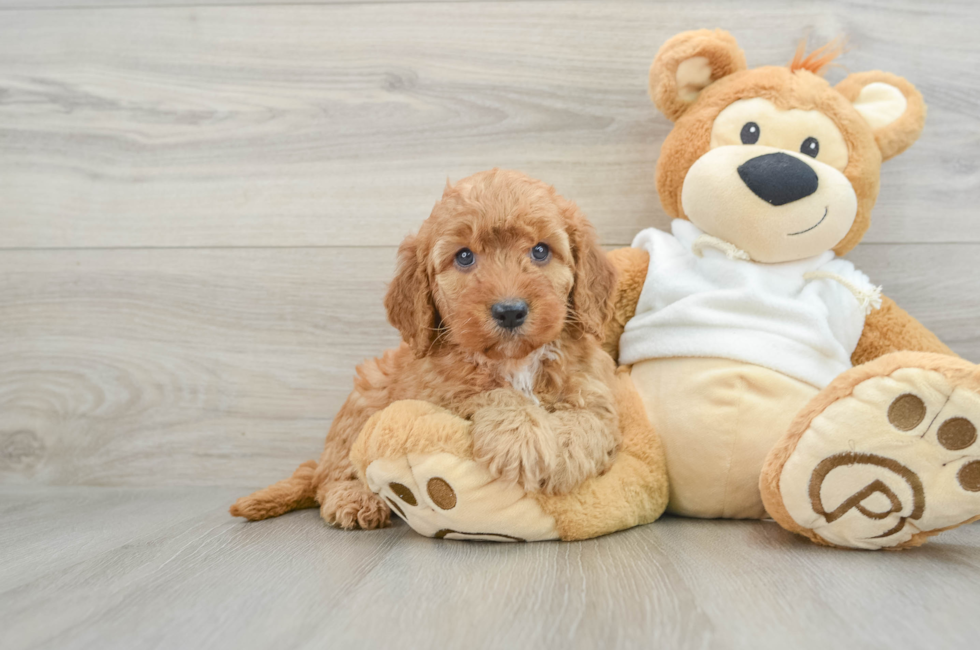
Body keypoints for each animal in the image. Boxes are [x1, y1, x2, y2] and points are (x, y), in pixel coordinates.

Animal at [232, 167, 620, 528]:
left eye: (540, 251)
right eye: (464, 257)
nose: (510, 311)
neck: (515, 361)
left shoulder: (595, 385)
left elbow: (591, 416)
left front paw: (565, 452)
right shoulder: (436, 392)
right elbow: (490, 393)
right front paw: (521, 438)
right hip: (365, 397)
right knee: (331, 476)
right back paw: (354, 499)